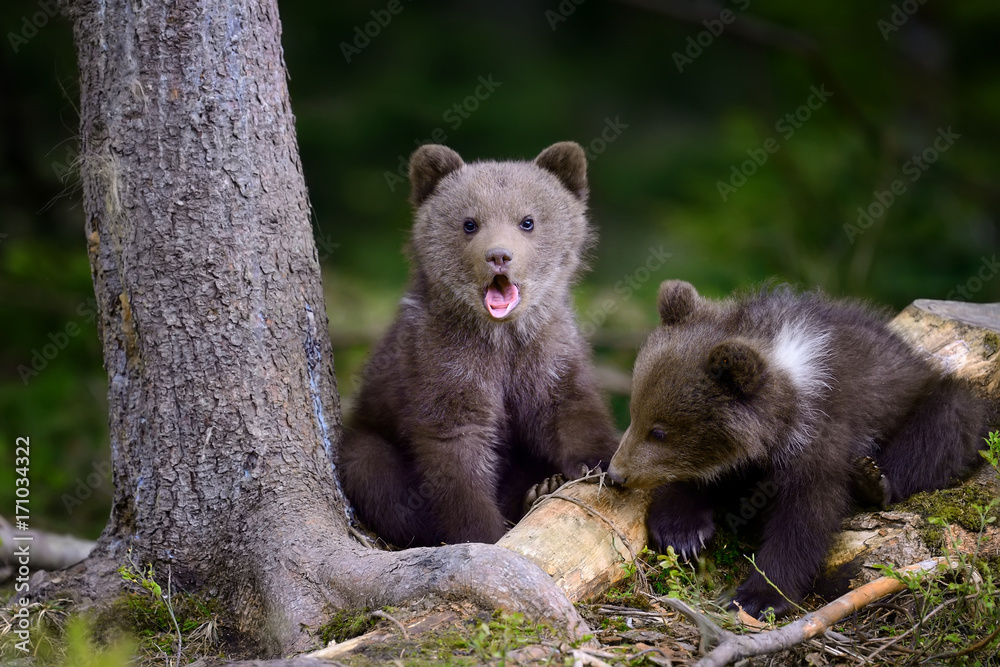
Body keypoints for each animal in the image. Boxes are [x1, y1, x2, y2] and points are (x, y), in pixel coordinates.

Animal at [338, 142, 619, 548]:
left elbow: (570, 406)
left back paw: (540, 487)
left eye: (527, 220)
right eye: (469, 223)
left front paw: (596, 461)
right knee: (372, 471)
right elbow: (456, 451)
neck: (500, 337)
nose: (499, 255)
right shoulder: (442, 363)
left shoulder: (547, 352)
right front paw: (484, 533)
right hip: (369, 433)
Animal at [608, 280, 987, 617]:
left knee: (944, 425)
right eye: (635, 413)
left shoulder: (823, 433)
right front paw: (681, 530)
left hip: (930, 398)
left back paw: (874, 480)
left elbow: (804, 518)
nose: (615, 474)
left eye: (659, 431)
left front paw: (757, 597)